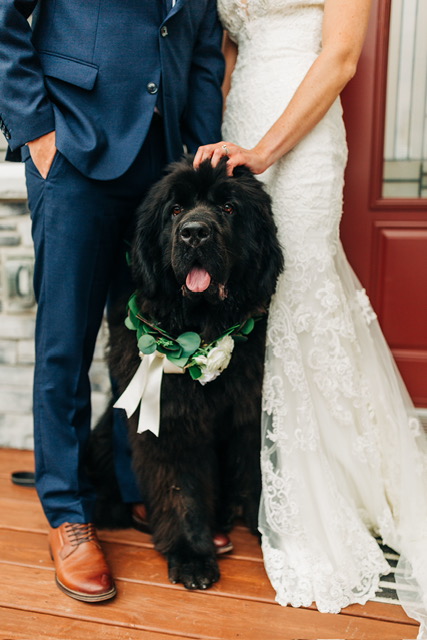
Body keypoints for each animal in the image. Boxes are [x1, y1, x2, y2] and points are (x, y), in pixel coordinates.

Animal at [90, 156, 283, 590]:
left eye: (228, 208)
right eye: (175, 210)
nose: (194, 233)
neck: (203, 327)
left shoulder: (249, 414)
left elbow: (257, 472)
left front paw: (268, 528)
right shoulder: (171, 424)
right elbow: (180, 489)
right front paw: (192, 554)